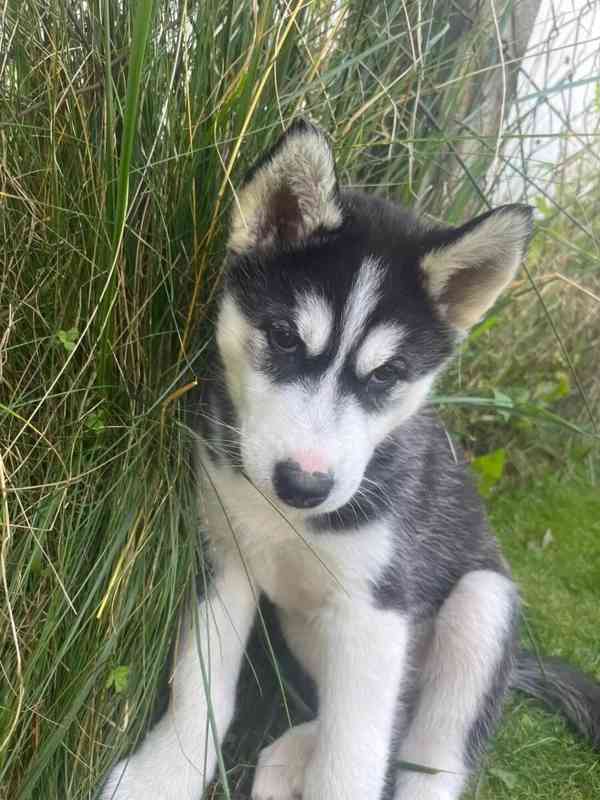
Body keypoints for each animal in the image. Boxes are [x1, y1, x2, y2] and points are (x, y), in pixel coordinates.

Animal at [103, 120, 600, 800]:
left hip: (482, 605)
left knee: (425, 756)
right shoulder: (222, 552)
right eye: (285, 338)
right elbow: (200, 688)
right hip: (311, 628)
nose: (303, 485)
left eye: (386, 374)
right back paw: (288, 757)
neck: (286, 520)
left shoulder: (375, 613)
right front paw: (162, 774)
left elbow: (351, 758)